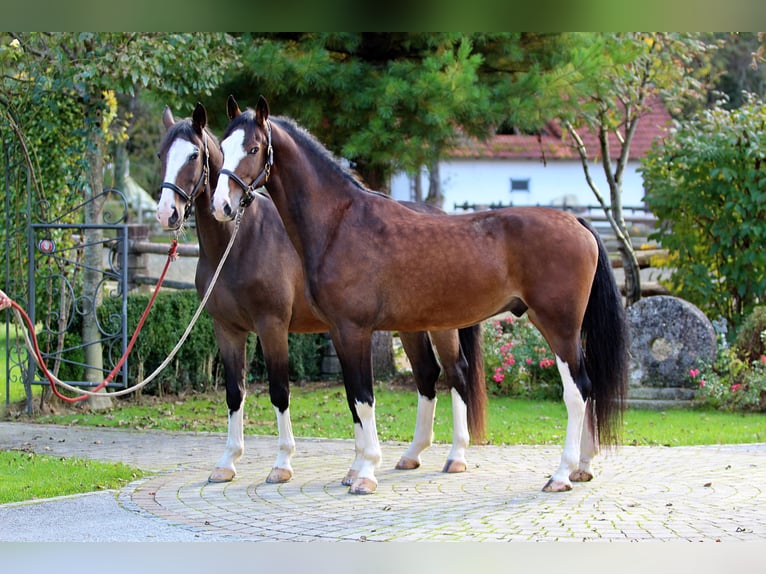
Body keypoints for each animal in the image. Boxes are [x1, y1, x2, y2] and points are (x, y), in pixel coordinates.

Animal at [156, 102, 486, 486]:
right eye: (162, 154)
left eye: (194, 155)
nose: (167, 213)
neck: (239, 243)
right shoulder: (226, 329)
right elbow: (235, 393)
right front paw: (227, 462)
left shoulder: (272, 326)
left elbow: (280, 391)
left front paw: (283, 464)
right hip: (411, 326)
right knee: (426, 375)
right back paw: (412, 454)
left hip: (441, 327)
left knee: (456, 373)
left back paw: (456, 456)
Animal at [211, 95, 629, 495]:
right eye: (222, 145)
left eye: (253, 148)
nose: (221, 206)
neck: (339, 222)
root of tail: (576, 221)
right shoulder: (339, 333)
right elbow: (352, 397)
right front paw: (356, 468)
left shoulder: (354, 330)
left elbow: (364, 398)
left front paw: (366, 474)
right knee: (586, 387)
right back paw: (582, 468)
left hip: (557, 326)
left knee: (577, 390)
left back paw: (560, 474)